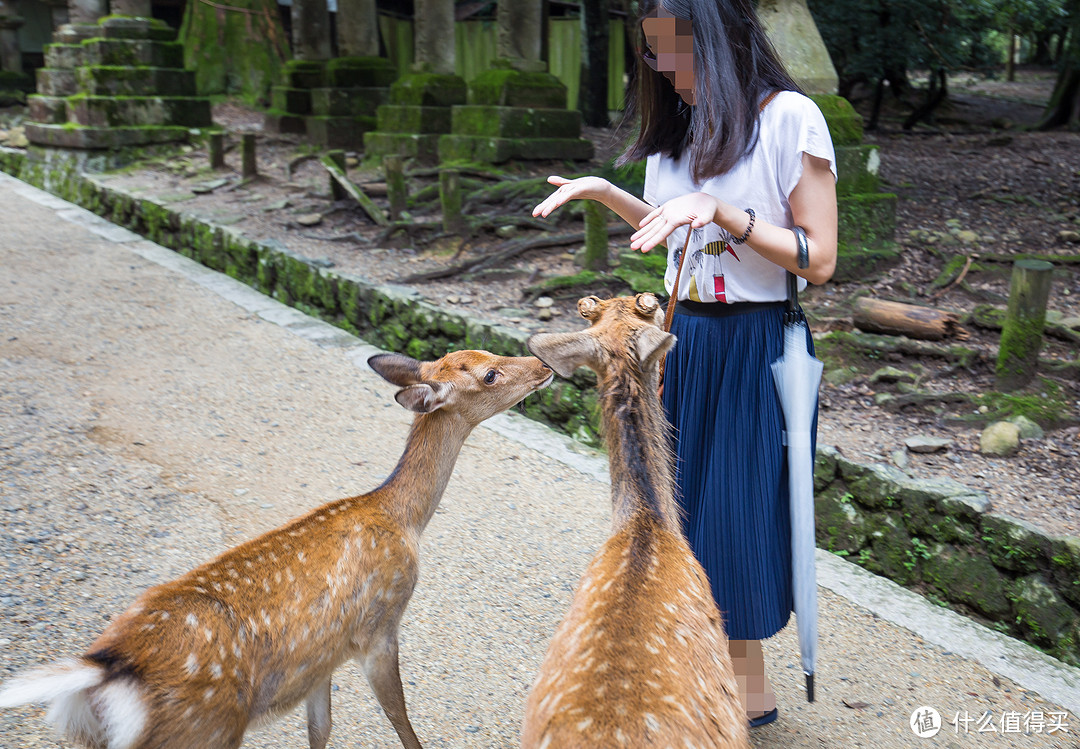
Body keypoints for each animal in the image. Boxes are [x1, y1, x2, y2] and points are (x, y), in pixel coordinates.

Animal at [0, 351, 552, 749]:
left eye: (486, 353)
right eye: (490, 374)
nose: (543, 365)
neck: (402, 518)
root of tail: (105, 667)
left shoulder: (321, 657)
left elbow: (320, 730)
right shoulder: (378, 627)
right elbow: (399, 716)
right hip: (205, 729)